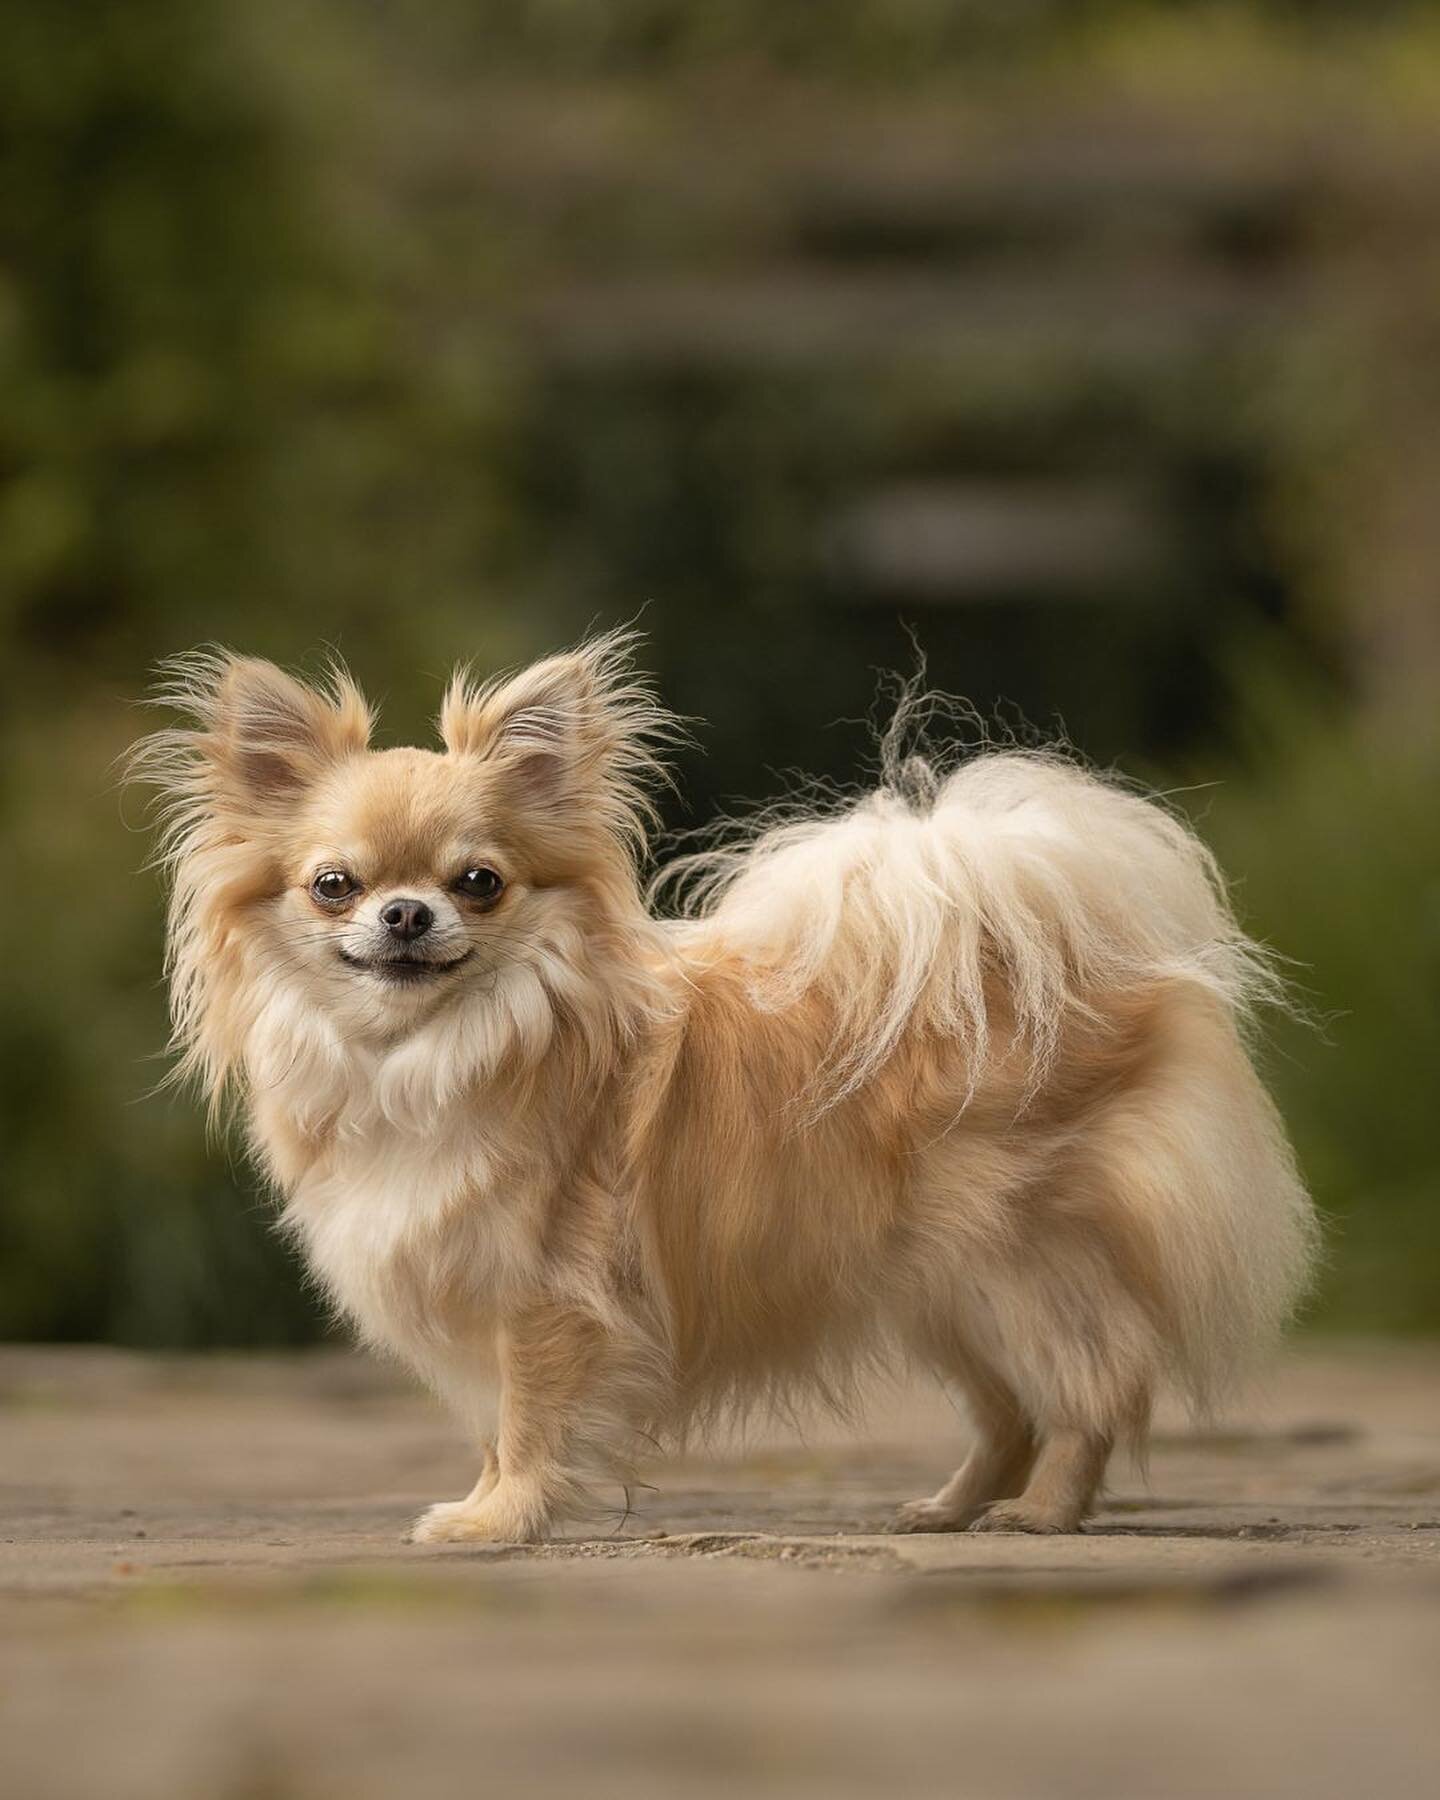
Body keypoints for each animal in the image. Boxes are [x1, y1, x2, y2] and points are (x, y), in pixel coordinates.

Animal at [132, 633, 1317, 1533]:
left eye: (478, 882)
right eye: (335, 886)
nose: (407, 914)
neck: (425, 1051)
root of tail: (1017, 951)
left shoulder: (546, 1295)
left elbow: (527, 1418)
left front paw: (499, 1523)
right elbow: (494, 1427)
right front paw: (483, 1504)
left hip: (1026, 1269)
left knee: (1093, 1391)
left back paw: (1040, 1515)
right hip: (943, 1289)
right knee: (1010, 1412)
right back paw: (948, 1511)